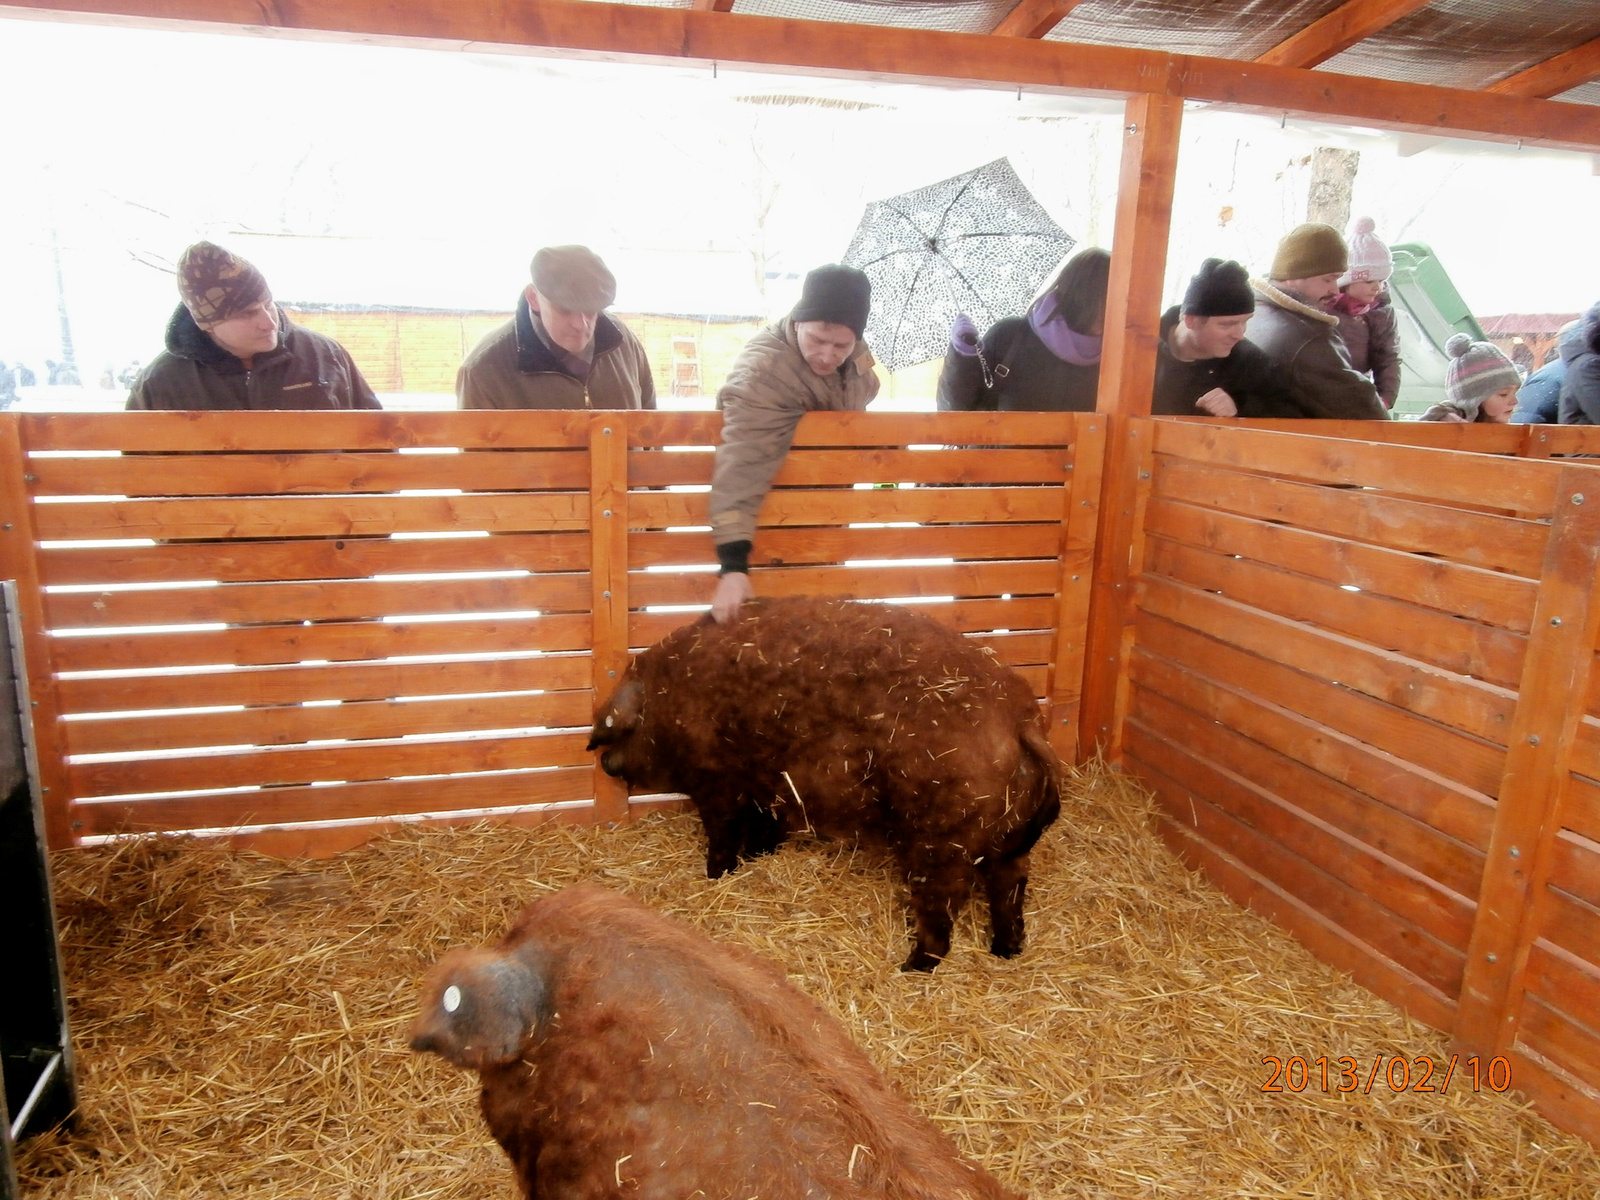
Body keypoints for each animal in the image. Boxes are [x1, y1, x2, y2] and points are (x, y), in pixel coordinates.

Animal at [588, 598, 1062, 972]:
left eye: (617, 733)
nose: (603, 761)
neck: (667, 703)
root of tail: (1021, 722)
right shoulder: (768, 786)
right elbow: (765, 826)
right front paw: (757, 855)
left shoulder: (718, 784)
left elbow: (724, 833)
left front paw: (715, 874)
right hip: (1007, 843)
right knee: (1010, 887)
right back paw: (1005, 951)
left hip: (940, 844)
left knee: (942, 913)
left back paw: (910, 968)